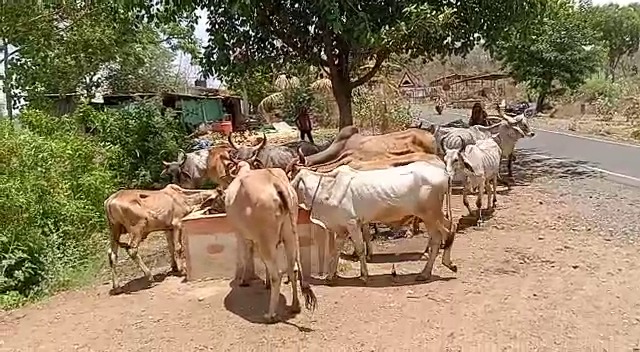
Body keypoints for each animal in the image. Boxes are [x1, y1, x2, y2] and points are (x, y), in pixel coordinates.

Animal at [224, 154, 318, 322]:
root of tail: (276, 183)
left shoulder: (241, 234)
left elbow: (246, 256)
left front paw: (244, 280)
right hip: (289, 236)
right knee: (292, 269)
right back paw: (295, 305)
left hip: (265, 241)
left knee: (277, 276)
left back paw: (270, 314)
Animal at [290, 158, 456, 282]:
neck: (327, 188)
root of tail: (444, 173)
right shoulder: (342, 228)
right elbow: (336, 250)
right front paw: (330, 276)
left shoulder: (352, 223)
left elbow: (360, 249)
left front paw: (364, 275)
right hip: (432, 216)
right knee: (445, 232)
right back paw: (437, 268)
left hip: (430, 215)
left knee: (444, 233)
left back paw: (435, 269)